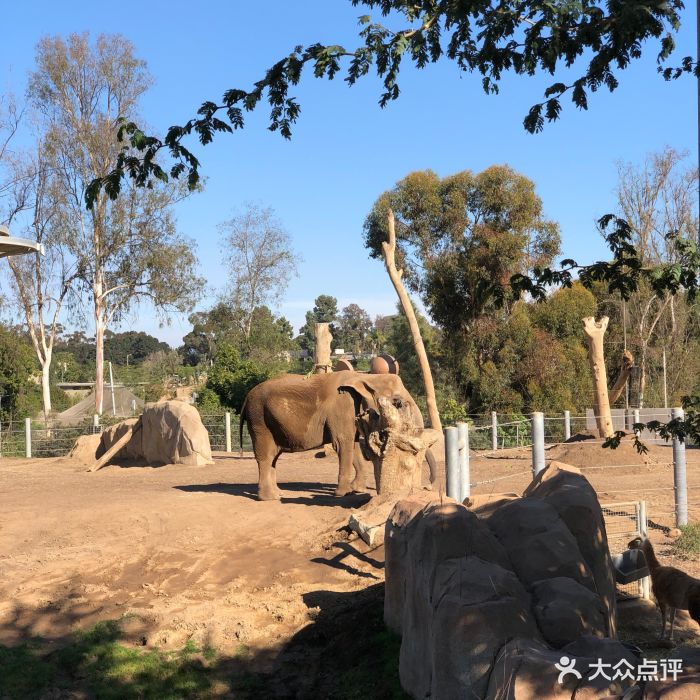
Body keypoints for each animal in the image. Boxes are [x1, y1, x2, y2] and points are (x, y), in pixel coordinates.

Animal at [241, 370, 438, 500]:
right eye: (397, 402)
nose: (428, 486)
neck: (364, 377)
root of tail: (246, 398)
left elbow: (354, 446)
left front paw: (357, 490)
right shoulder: (342, 407)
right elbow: (343, 443)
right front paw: (342, 494)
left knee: (274, 457)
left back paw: (278, 493)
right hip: (259, 420)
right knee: (266, 456)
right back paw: (270, 498)